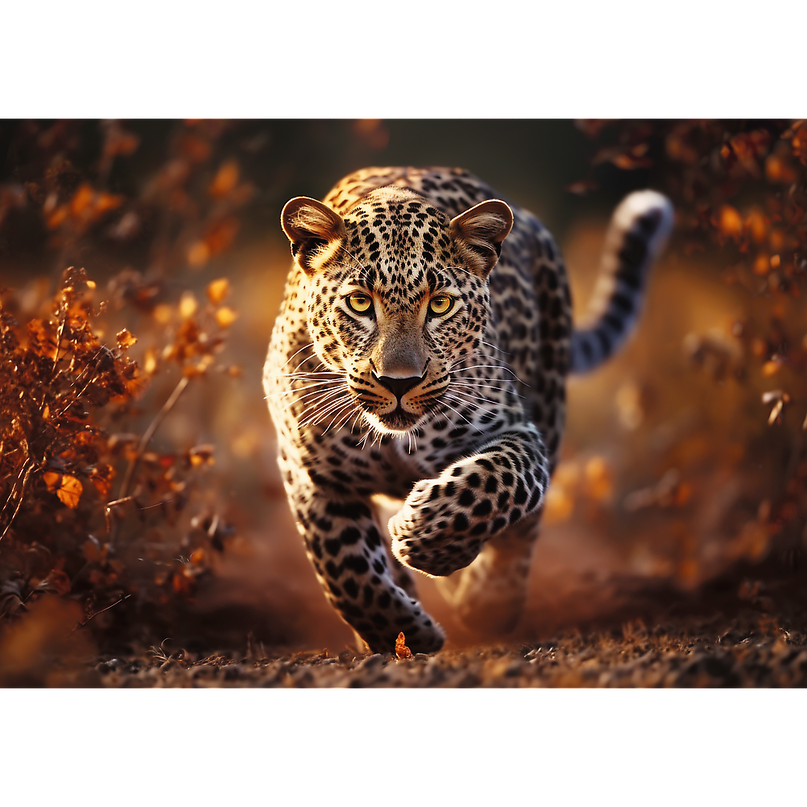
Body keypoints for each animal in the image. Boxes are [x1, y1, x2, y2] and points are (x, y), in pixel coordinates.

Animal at [264, 166, 673, 654]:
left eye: (440, 304)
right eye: (360, 302)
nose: (399, 381)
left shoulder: (518, 431)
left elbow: (496, 482)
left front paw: (426, 536)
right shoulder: (310, 473)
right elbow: (345, 568)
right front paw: (402, 632)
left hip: (550, 400)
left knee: (522, 531)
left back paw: (489, 601)